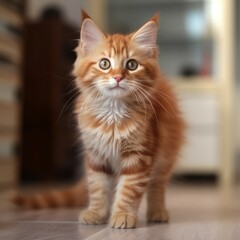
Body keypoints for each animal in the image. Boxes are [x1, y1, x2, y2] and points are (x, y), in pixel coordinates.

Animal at [13, 11, 186, 229]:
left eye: (131, 65)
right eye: (105, 64)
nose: (118, 77)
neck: (112, 113)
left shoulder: (139, 156)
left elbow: (129, 190)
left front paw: (123, 215)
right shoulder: (96, 156)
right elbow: (98, 188)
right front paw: (96, 213)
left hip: (165, 154)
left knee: (157, 186)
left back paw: (157, 212)